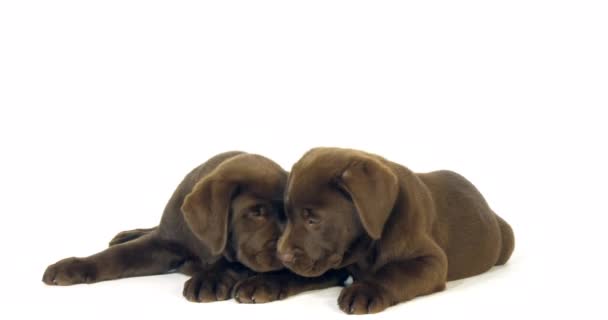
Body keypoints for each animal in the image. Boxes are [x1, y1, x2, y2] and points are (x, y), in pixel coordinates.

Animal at [278, 149, 516, 314]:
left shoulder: (433, 261)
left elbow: (395, 272)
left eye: (313, 220)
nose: (282, 256)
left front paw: (365, 290)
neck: (365, 250)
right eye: (287, 216)